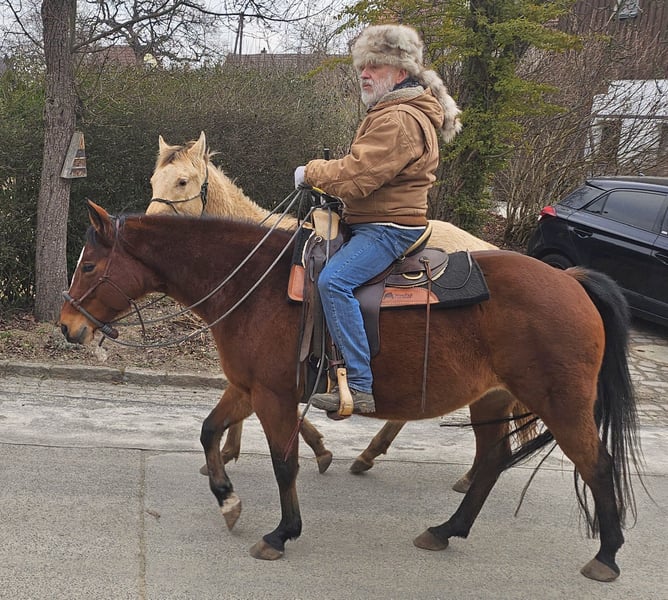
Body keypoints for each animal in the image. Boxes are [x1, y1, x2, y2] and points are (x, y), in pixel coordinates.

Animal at [60, 201, 641, 581]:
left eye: (88, 265)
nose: (67, 327)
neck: (251, 285)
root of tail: (572, 280)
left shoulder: (273, 396)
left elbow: (284, 463)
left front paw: (282, 532)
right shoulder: (249, 387)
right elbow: (208, 431)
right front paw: (227, 499)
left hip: (560, 404)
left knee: (597, 464)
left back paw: (608, 555)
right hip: (492, 398)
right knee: (494, 461)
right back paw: (446, 529)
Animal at [147, 131, 529, 490]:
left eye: (183, 181)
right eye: (154, 180)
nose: (148, 225)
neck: (258, 259)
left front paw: (316, 449)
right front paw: (229, 452)